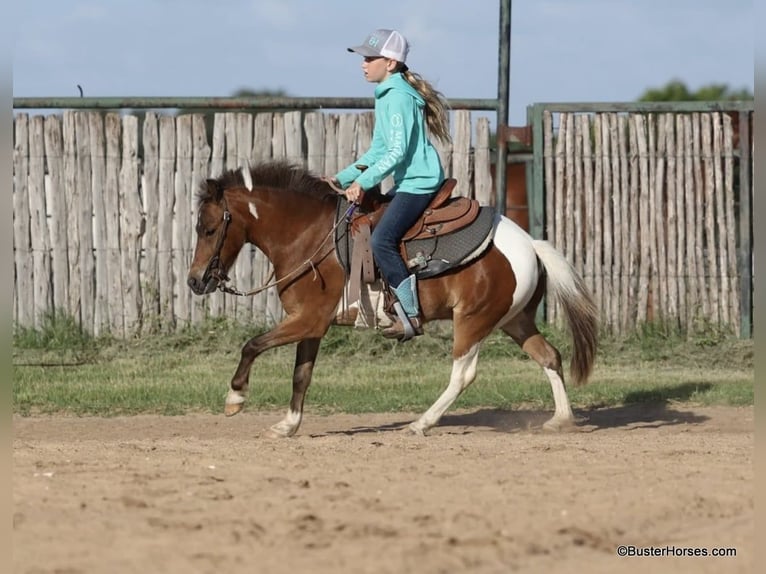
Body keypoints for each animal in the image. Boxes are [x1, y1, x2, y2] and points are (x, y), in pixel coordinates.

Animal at [186, 160, 600, 438]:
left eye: (209, 228)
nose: (194, 281)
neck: (309, 235)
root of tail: (530, 244)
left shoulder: (307, 320)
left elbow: (252, 345)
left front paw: (235, 398)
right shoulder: (312, 325)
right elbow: (301, 375)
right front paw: (287, 425)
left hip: (473, 320)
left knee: (463, 374)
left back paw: (421, 423)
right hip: (514, 320)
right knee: (549, 356)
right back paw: (560, 420)